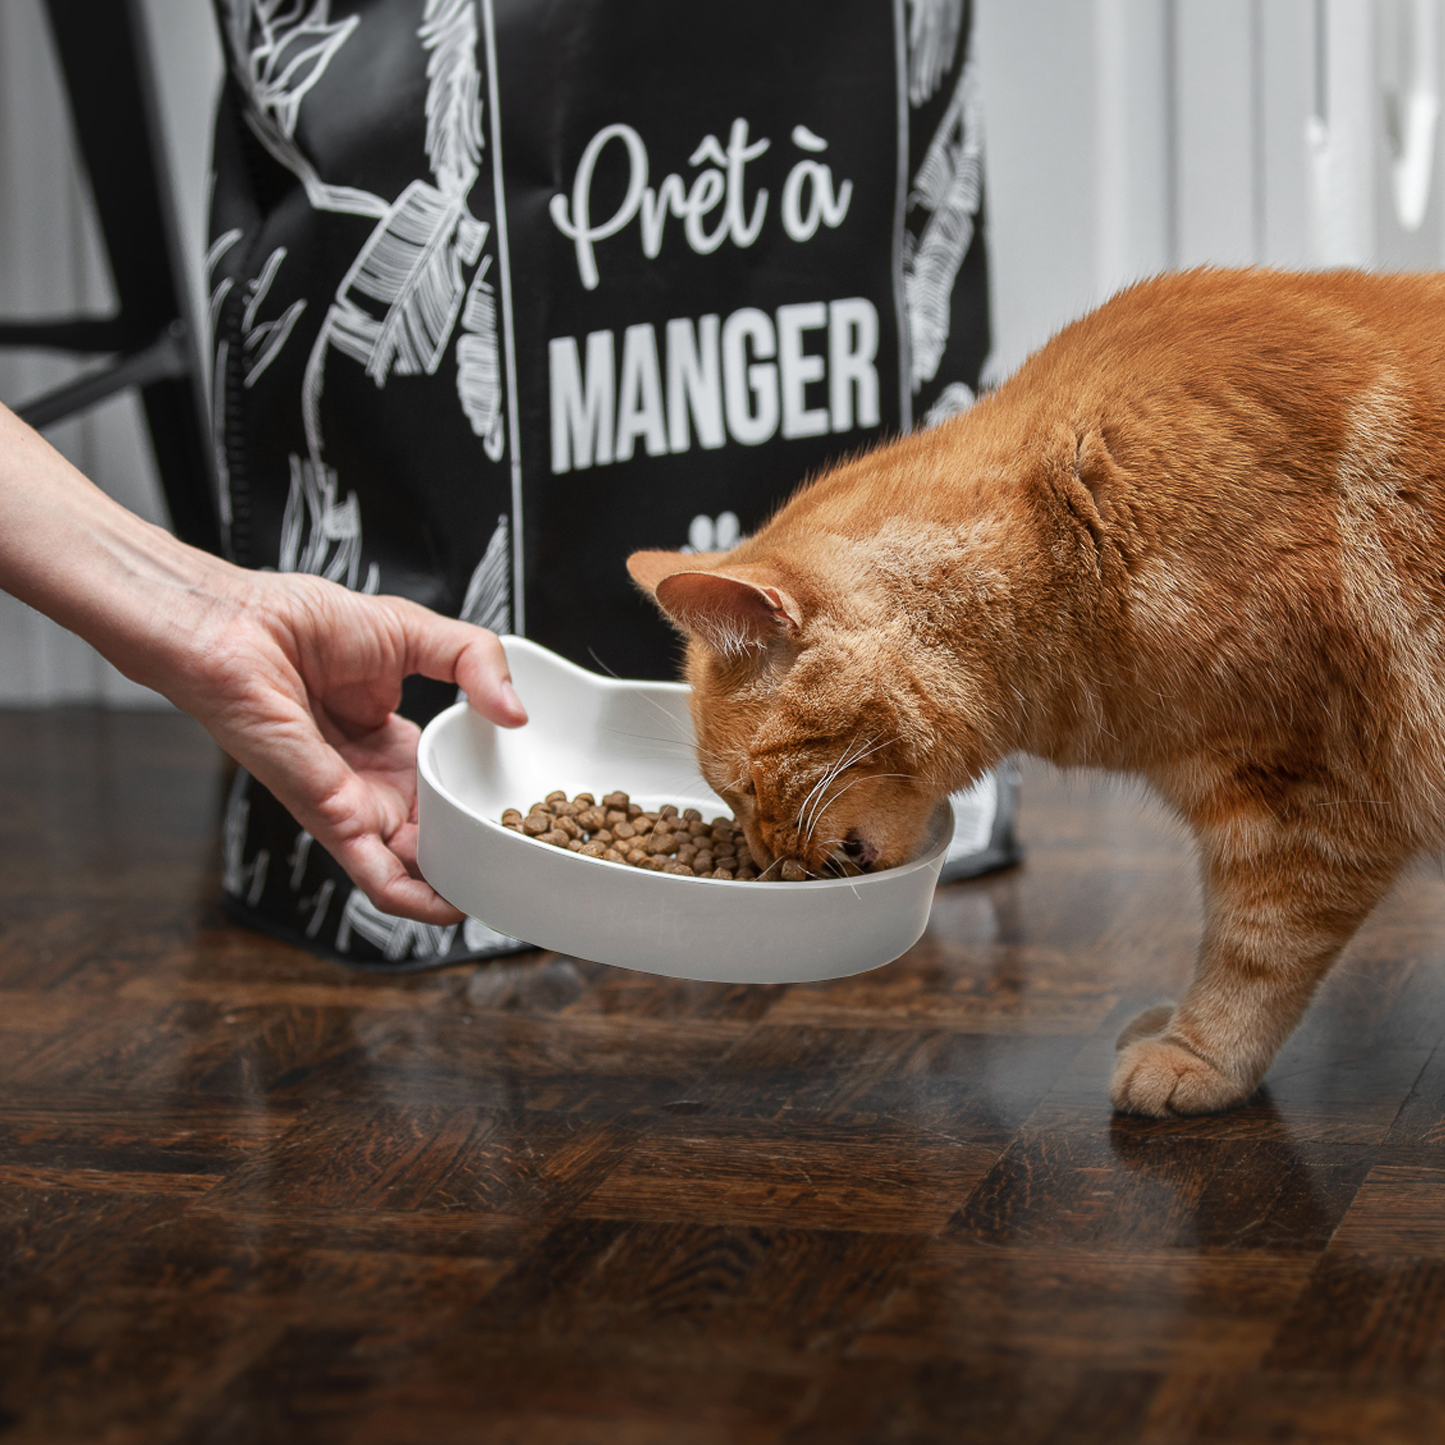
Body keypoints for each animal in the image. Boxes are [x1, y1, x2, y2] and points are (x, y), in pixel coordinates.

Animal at [632, 271, 1445, 1115]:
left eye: (744, 784)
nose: (763, 863)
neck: (1069, 538)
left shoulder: (1304, 801)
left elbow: (1253, 952)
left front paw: (1198, 1055)